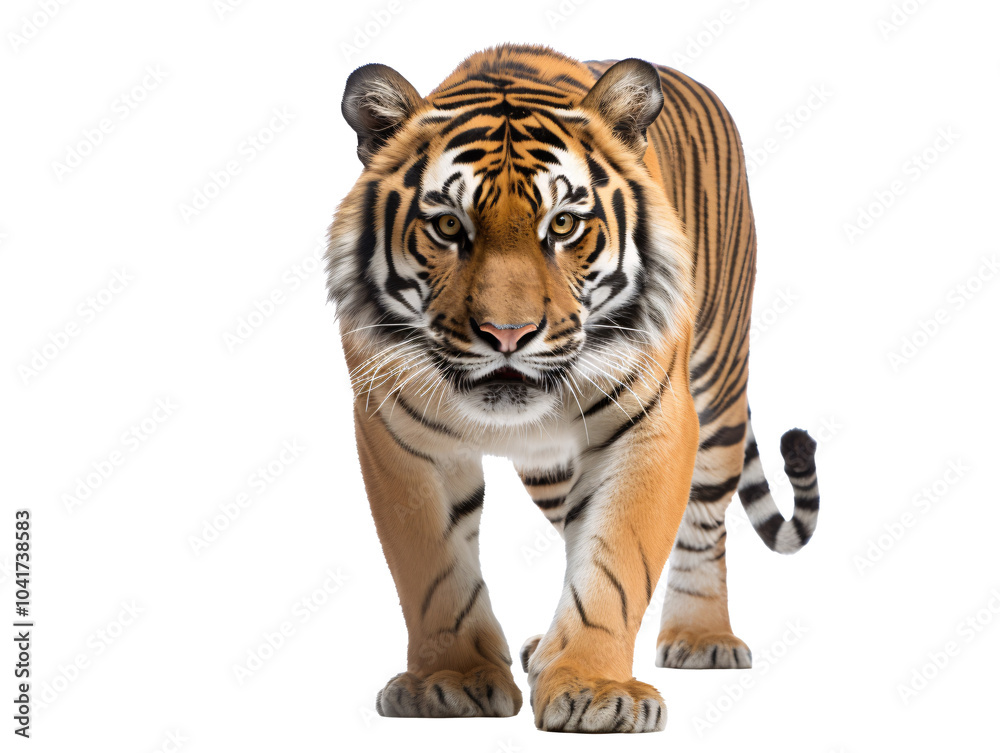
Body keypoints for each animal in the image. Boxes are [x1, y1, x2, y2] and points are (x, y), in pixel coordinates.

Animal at [325, 43, 820, 733]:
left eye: (562, 225)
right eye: (448, 227)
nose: (507, 334)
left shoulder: (653, 424)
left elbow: (617, 560)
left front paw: (594, 687)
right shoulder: (397, 433)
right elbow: (432, 570)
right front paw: (450, 681)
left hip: (720, 385)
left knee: (704, 521)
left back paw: (702, 639)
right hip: (549, 466)